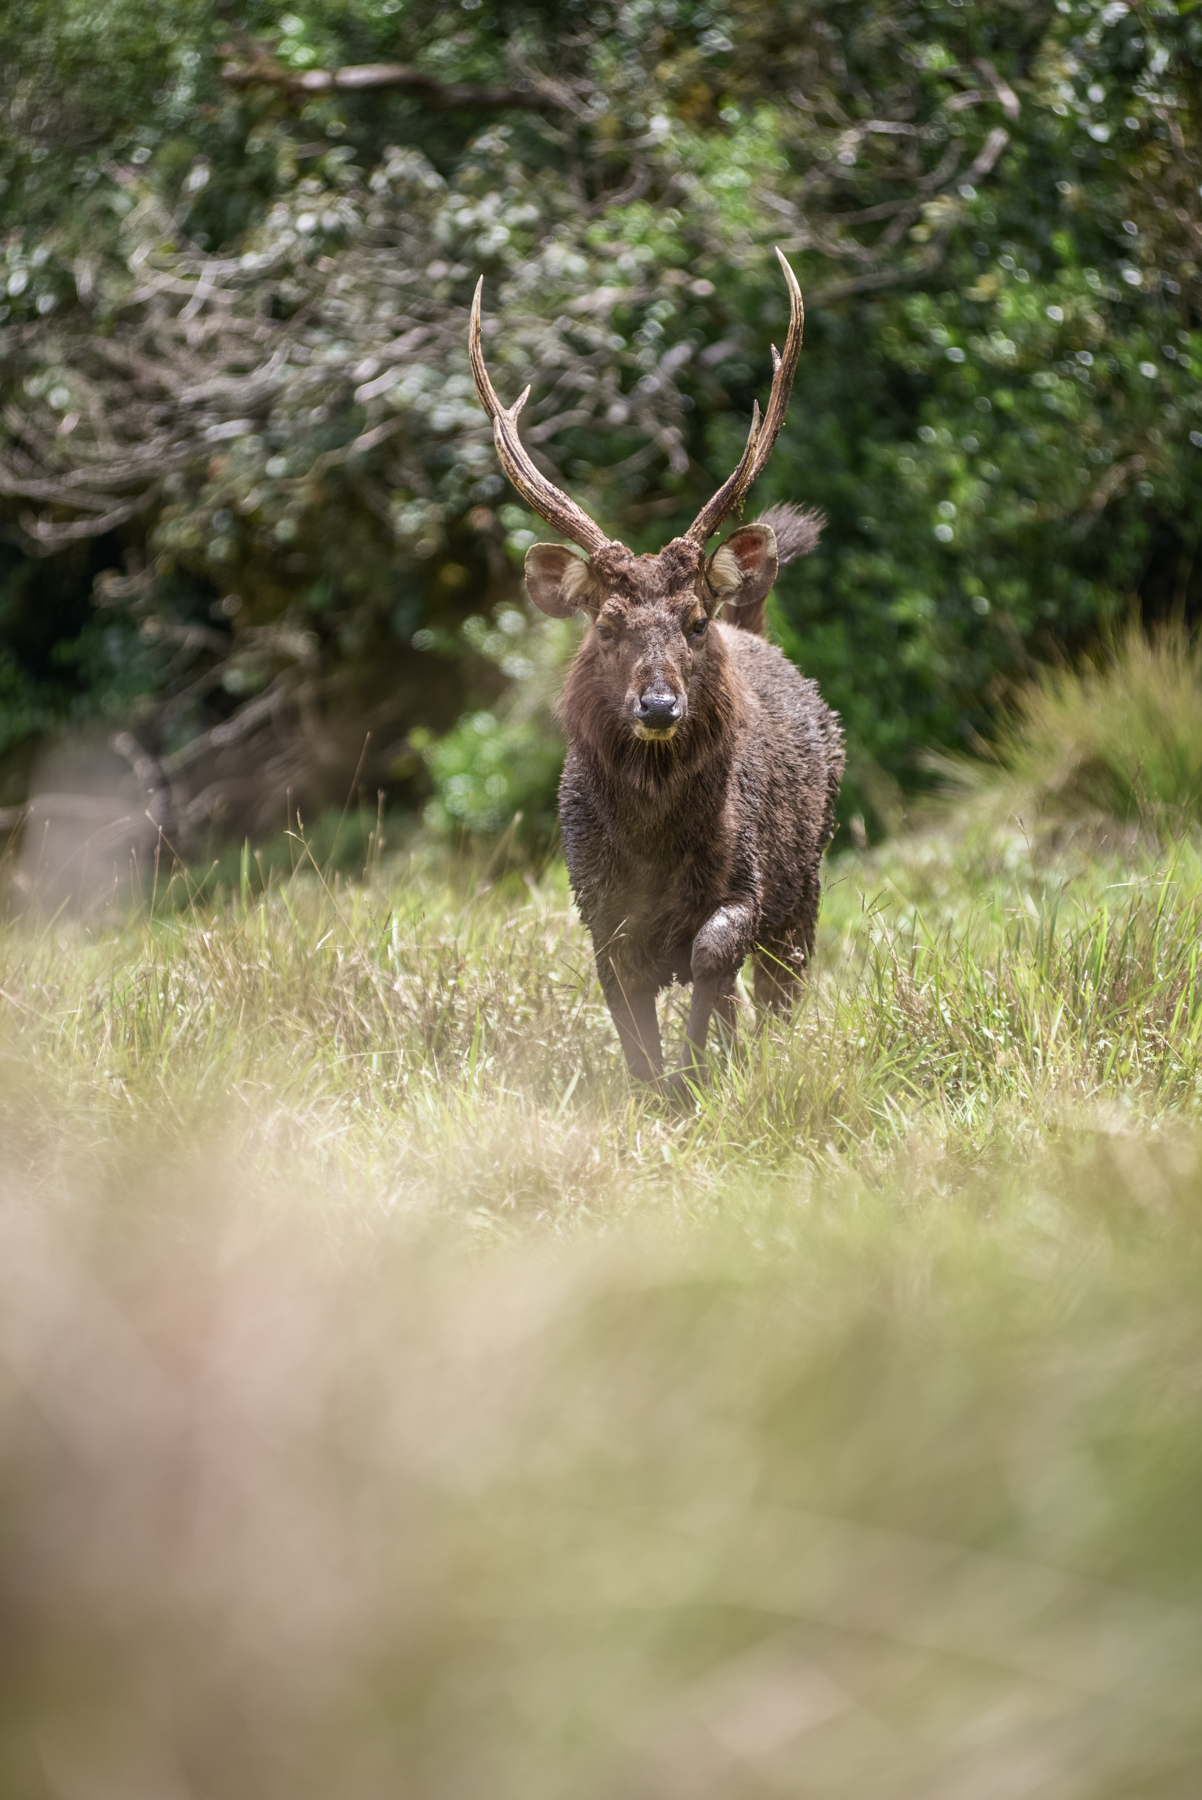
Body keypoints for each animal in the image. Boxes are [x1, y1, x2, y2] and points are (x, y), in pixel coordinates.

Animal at [467, 250, 845, 1094]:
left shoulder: (749, 879)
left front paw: (699, 1070)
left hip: (809, 873)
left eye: (694, 620)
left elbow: (711, 955)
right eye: (607, 622)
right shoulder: (594, 901)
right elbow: (623, 998)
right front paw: (656, 1086)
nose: (659, 705)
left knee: (782, 987)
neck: (655, 846)